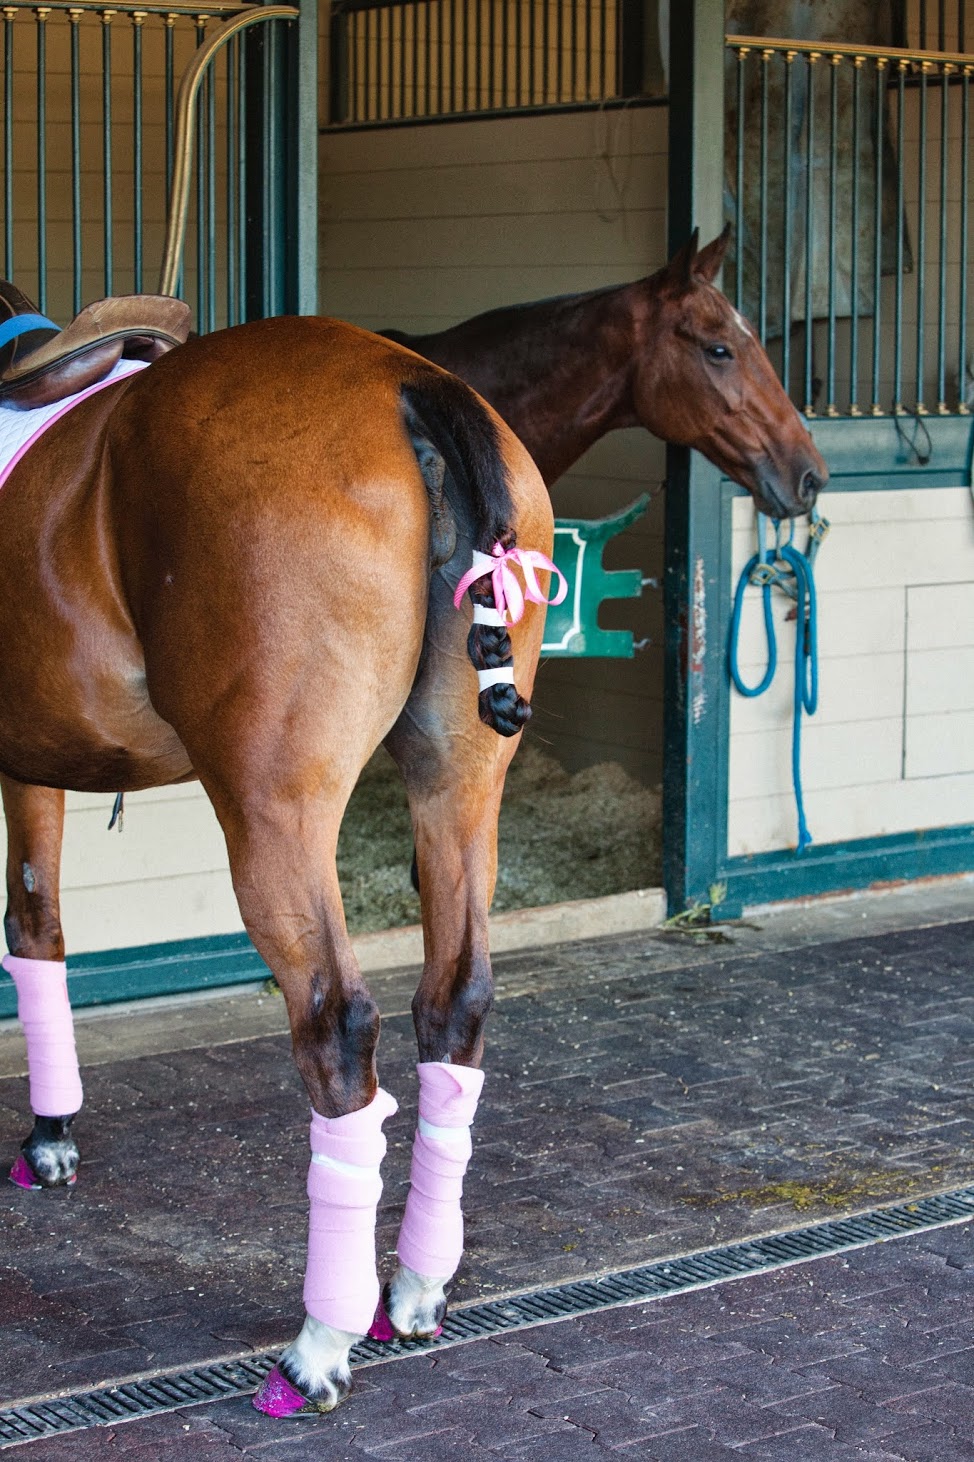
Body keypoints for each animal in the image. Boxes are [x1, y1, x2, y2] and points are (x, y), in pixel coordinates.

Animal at [0, 317, 558, 1415]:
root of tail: (405, 381)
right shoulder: (31, 760)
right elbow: (37, 924)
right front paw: (50, 1127)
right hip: (459, 780)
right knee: (455, 999)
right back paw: (413, 1287)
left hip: (273, 811)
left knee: (335, 1025)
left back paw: (319, 1342)